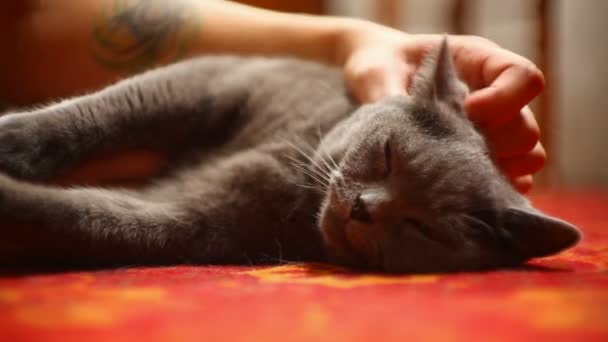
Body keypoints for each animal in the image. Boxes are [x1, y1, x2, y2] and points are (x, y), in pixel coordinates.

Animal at [0, 38, 580, 272]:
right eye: (388, 154)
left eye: (424, 228)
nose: (365, 206)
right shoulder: (218, 76)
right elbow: (108, 110)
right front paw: (12, 141)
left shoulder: (197, 221)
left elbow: (84, 216)